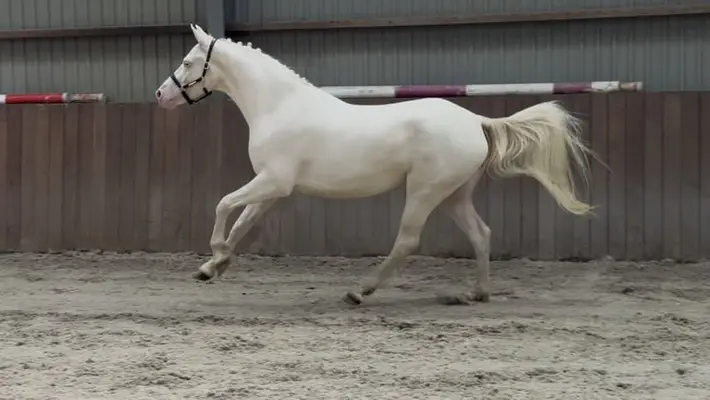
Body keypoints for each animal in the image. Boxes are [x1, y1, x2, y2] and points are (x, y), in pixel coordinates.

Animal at [155, 24, 595, 306]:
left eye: (189, 61)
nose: (161, 95)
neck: (279, 106)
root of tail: (476, 121)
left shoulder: (273, 181)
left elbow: (223, 205)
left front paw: (214, 256)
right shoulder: (273, 188)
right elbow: (242, 223)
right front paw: (213, 267)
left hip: (424, 191)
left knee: (407, 241)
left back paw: (359, 291)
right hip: (454, 195)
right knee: (481, 234)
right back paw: (478, 294)